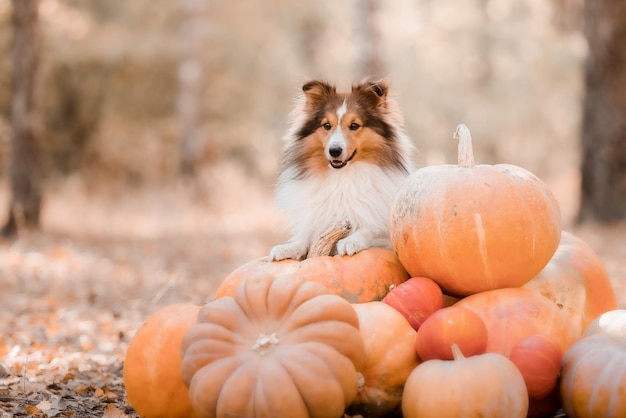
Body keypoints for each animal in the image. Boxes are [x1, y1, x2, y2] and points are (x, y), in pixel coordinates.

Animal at [266, 79, 410, 260]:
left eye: (354, 125)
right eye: (326, 125)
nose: (334, 151)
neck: (343, 176)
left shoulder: (388, 233)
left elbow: (371, 229)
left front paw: (351, 241)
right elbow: (303, 237)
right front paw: (287, 248)